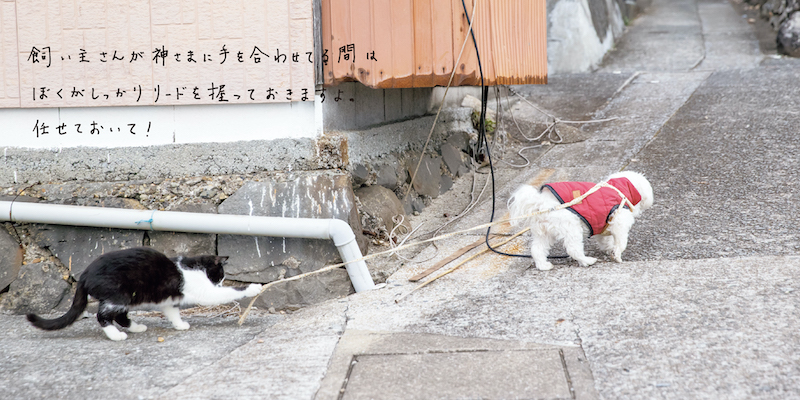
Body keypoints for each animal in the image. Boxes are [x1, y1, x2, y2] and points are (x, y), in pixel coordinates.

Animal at [26, 247, 260, 340]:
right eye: (220, 276)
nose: (220, 283)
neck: (193, 266)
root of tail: (83, 275)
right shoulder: (204, 291)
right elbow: (227, 293)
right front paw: (253, 288)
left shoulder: (168, 300)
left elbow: (172, 311)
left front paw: (179, 325)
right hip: (119, 294)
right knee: (102, 315)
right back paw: (116, 335)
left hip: (127, 297)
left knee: (120, 315)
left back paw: (136, 327)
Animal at [510, 170, 652, 270]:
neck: (619, 189)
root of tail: (541, 203)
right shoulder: (619, 220)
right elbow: (621, 242)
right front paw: (617, 255)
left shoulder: (603, 225)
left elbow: (606, 240)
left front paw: (610, 249)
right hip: (571, 227)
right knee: (573, 249)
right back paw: (587, 261)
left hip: (544, 233)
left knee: (537, 249)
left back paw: (544, 266)